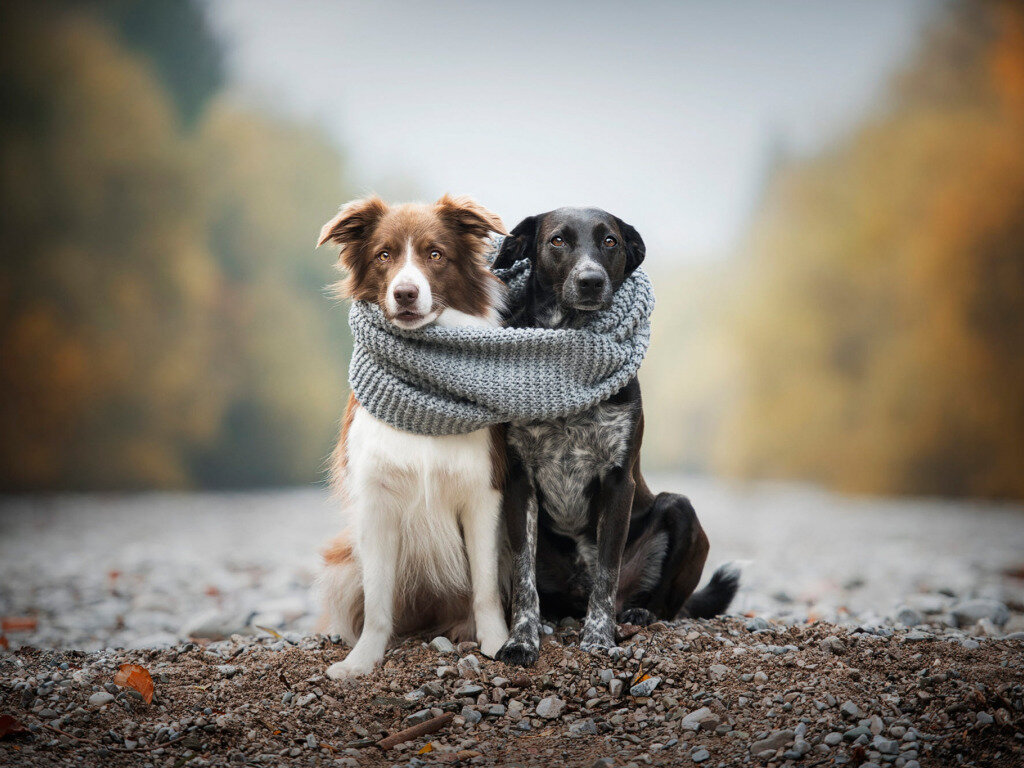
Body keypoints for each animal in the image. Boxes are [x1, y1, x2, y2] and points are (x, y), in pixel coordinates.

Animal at [313, 196, 509, 679]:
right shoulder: (376, 502)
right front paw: (362, 661)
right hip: (342, 561)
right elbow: (378, 601)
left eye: (435, 254)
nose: (405, 293)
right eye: (384, 255)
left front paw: (498, 643)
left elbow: (485, 588)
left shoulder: (483, 494)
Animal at [493, 207, 741, 663]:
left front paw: (597, 638)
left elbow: (607, 574)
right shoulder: (520, 481)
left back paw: (640, 613)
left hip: (680, 510)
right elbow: (523, 577)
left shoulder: (617, 481)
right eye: (557, 240)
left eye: (610, 241)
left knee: (665, 603)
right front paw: (522, 639)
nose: (591, 280)